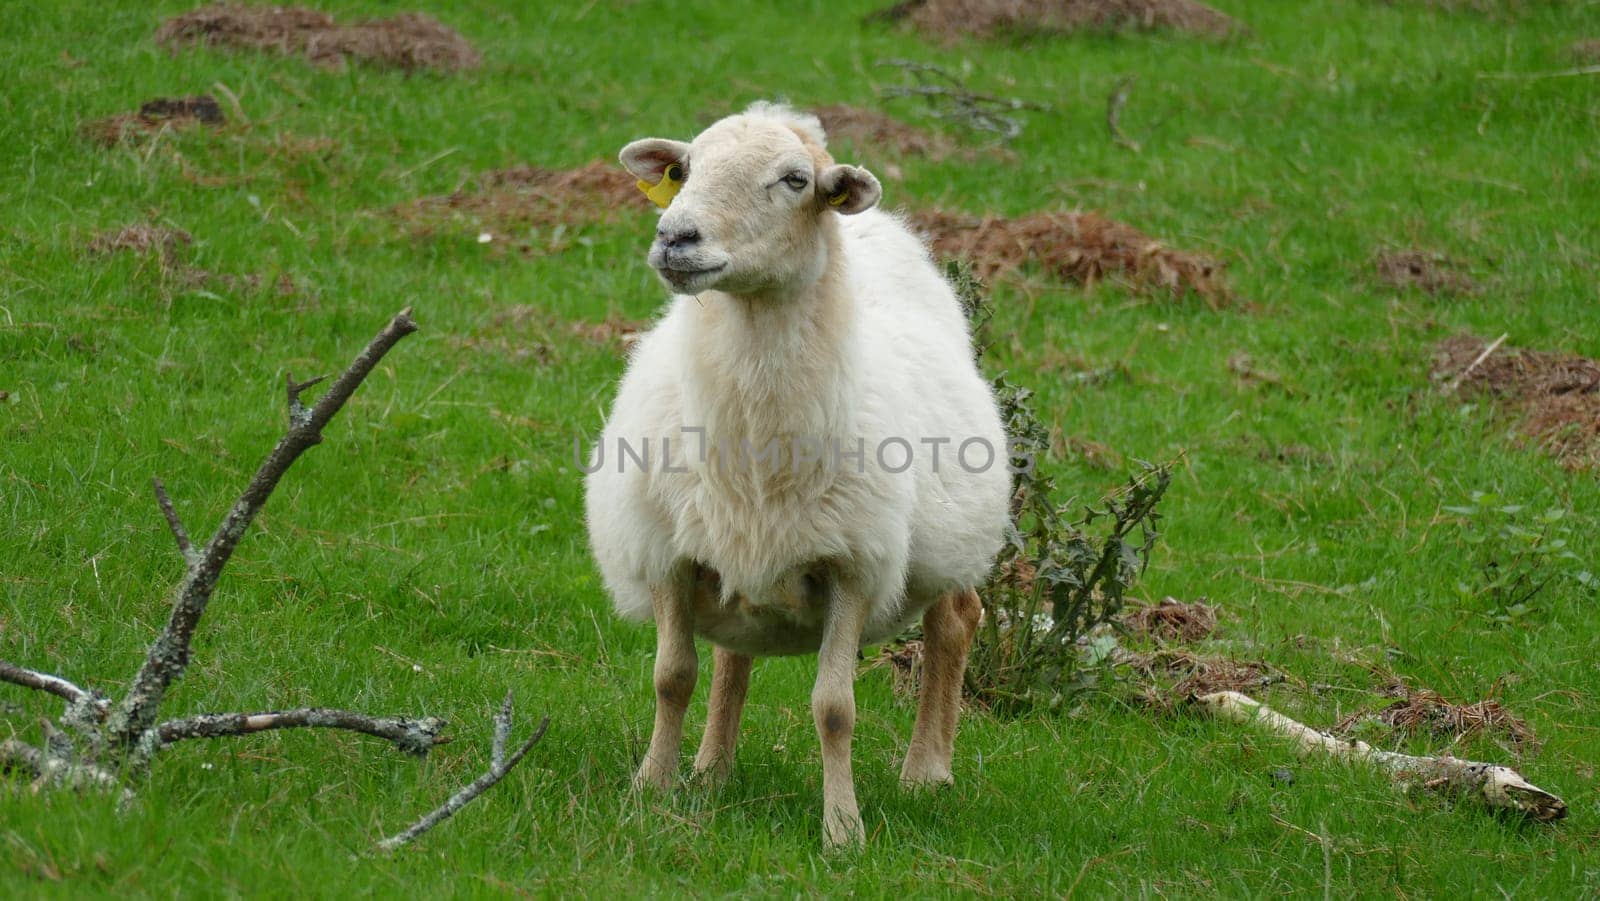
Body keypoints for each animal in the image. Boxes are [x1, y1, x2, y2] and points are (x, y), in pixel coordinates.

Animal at [588, 102, 1004, 851]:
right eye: (684, 170)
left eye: (793, 180)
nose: (674, 237)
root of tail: (876, 226)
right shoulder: (666, 550)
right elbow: (672, 677)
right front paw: (651, 787)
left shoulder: (853, 566)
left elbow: (835, 707)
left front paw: (843, 830)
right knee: (732, 653)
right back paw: (711, 768)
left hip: (949, 537)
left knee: (957, 618)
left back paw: (927, 771)